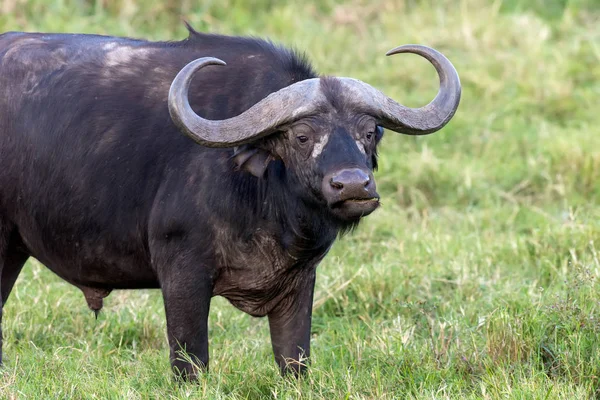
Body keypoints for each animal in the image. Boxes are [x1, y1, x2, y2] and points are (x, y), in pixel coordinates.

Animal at [0, 23, 462, 380]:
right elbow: (191, 363)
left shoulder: (300, 282)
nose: (352, 185)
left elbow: (294, 360)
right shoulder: (182, 275)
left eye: (369, 132)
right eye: (301, 136)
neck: (265, 203)